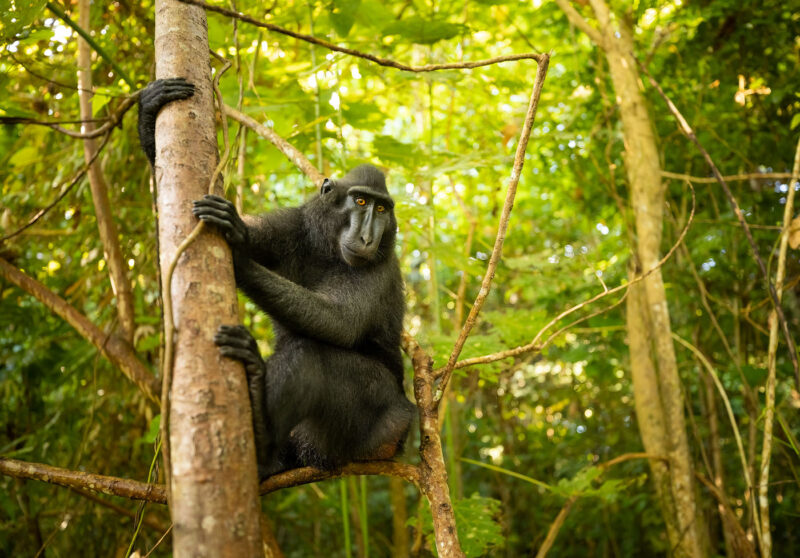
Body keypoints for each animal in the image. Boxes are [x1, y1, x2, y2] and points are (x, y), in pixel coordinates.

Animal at [139, 79, 412, 482]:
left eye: (381, 209)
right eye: (361, 202)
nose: (367, 238)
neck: (328, 250)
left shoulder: (378, 269)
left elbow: (341, 323)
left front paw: (238, 254)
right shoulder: (292, 226)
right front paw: (147, 111)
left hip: (372, 426)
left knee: (310, 354)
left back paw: (262, 428)